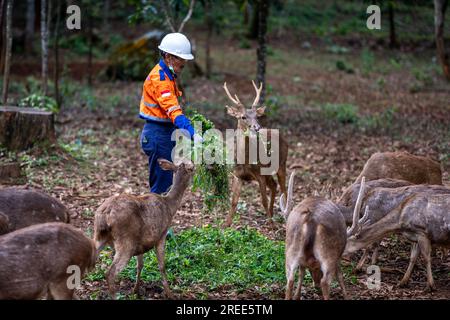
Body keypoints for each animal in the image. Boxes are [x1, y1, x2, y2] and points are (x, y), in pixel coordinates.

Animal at [94, 159, 194, 298]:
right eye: (192, 168)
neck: (170, 206)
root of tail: (105, 214)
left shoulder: (140, 244)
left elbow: (140, 265)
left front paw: (136, 290)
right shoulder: (161, 234)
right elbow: (162, 265)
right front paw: (169, 294)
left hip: (99, 236)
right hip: (126, 241)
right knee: (110, 273)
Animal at [221, 81, 288, 226]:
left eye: (257, 116)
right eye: (243, 117)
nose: (257, 127)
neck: (245, 161)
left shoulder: (259, 174)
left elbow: (263, 200)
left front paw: (271, 225)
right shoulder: (237, 175)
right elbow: (234, 202)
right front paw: (226, 225)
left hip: (282, 164)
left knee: (284, 190)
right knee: (274, 185)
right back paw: (272, 214)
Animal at [280, 172, 368, 300]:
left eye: (314, 267)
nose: (315, 284)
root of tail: (310, 218)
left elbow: (302, 271)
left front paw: (297, 295)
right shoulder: (338, 255)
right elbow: (340, 275)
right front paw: (346, 296)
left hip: (291, 248)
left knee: (290, 279)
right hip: (328, 252)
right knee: (325, 282)